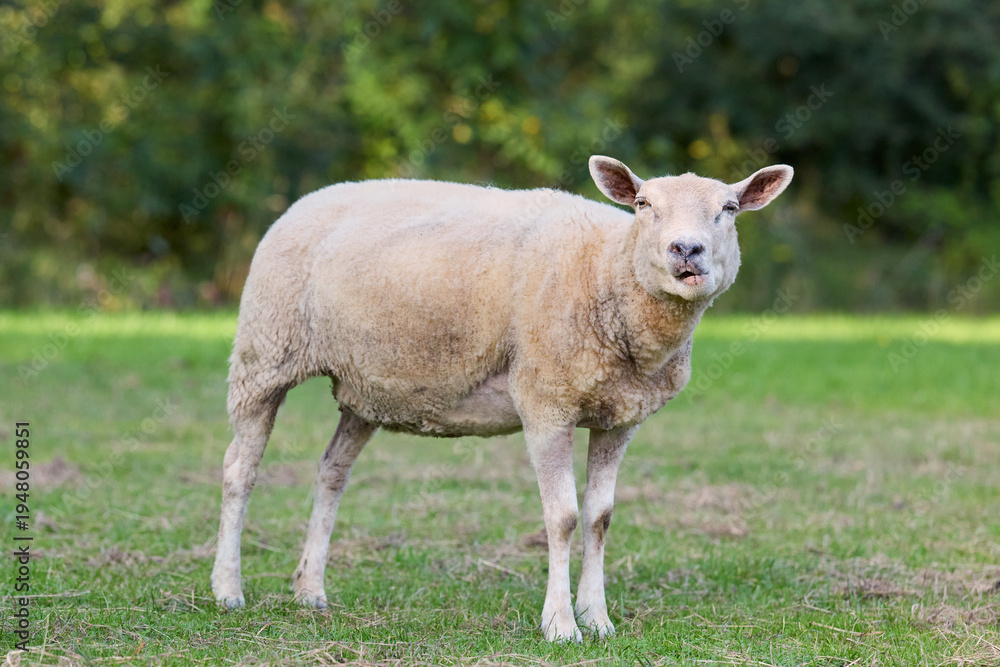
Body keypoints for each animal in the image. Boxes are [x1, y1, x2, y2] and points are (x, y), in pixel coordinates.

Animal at [210, 155, 793, 642]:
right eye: (644, 204)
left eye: (729, 209)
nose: (686, 250)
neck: (607, 269)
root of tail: (306, 200)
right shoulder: (546, 401)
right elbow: (563, 517)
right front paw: (560, 625)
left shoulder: (619, 416)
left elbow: (600, 517)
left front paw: (597, 618)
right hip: (265, 352)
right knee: (240, 469)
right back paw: (228, 589)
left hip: (365, 387)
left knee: (331, 472)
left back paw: (310, 590)